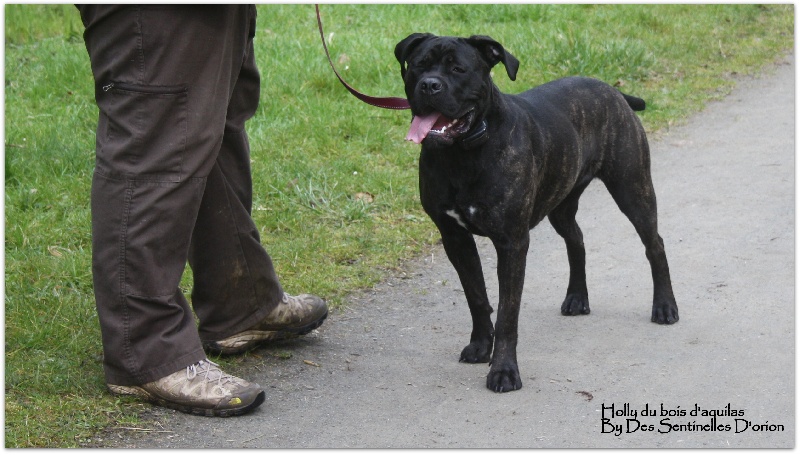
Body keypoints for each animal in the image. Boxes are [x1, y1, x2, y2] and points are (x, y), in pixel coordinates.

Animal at [395, 33, 679, 393]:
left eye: (458, 69)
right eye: (418, 65)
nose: (430, 85)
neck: (463, 153)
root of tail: (613, 91)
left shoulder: (512, 243)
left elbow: (507, 312)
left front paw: (503, 371)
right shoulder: (455, 238)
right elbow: (476, 296)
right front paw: (480, 346)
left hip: (633, 189)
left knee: (654, 244)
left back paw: (665, 306)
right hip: (562, 205)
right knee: (577, 241)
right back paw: (577, 297)